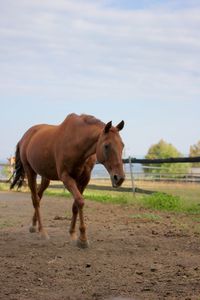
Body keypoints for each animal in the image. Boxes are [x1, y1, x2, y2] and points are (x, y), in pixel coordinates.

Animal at [10, 113, 125, 247]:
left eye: (122, 145)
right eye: (106, 146)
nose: (119, 178)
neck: (77, 142)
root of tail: (25, 136)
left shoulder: (84, 179)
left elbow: (75, 205)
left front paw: (73, 234)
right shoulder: (66, 177)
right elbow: (80, 201)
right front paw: (83, 239)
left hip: (45, 177)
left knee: (38, 195)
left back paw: (33, 225)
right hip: (30, 172)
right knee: (35, 200)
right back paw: (42, 231)